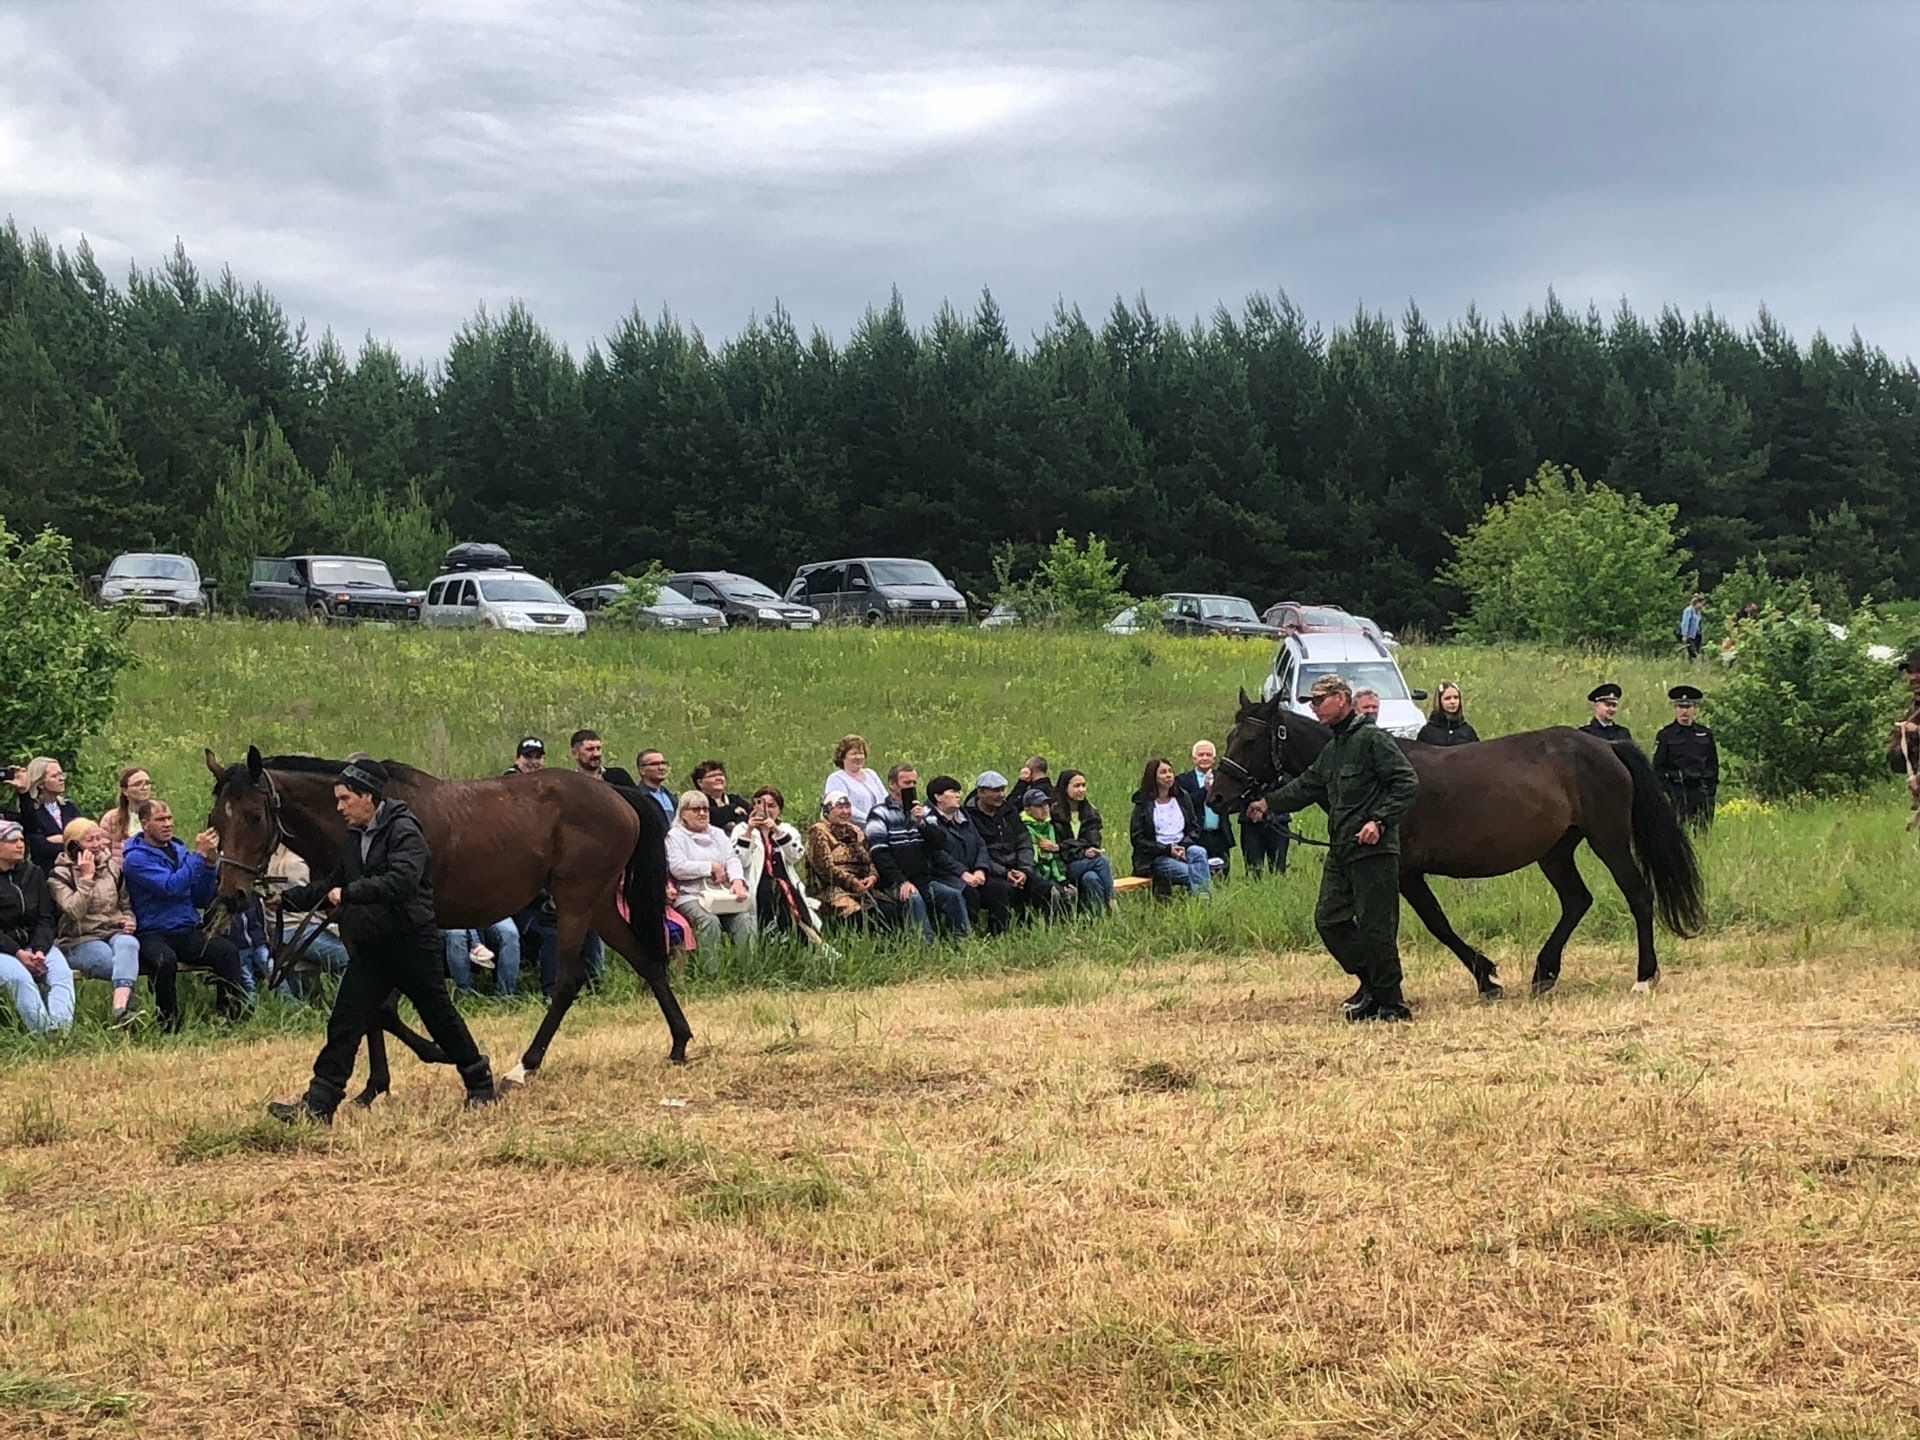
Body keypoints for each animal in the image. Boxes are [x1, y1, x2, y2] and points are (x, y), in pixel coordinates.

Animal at [206, 748, 687, 1098]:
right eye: (214, 822)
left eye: (253, 816)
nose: (232, 895)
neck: (364, 826)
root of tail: (618, 795)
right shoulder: (359, 930)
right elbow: (370, 1008)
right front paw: (373, 1088)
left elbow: (384, 1007)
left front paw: (439, 1054)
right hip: (599, 903)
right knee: (646, 961)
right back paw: (679, 1043)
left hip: (575, 900)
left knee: (568, 982)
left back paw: (524, 1066)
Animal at [1213, 695, 1712, 998]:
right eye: (1230, 737)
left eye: (1252, 739)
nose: (1217, 796)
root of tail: (1606, 747)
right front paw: (1366, 990)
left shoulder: (1404, 872)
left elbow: (1436, 924)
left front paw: (1485, 977)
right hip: (1555, 850)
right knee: (1576, 900)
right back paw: (1544, 973)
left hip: (1606, 838)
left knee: (1637, 895)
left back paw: (1644, 976)